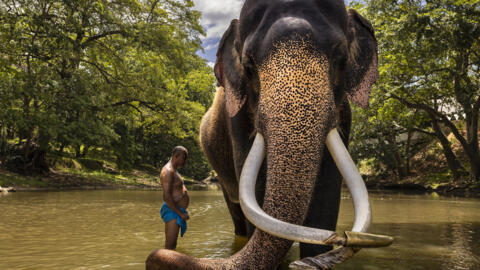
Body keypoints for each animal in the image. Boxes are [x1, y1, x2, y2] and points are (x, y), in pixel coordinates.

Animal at [148, 0, 392, 268]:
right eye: (248, 66)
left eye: (341, 58)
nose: (344, 239)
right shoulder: (237, 119)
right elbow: (257, 189)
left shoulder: (344, 114)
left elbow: (327, 195)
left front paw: (312, 258)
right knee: (237, 213)